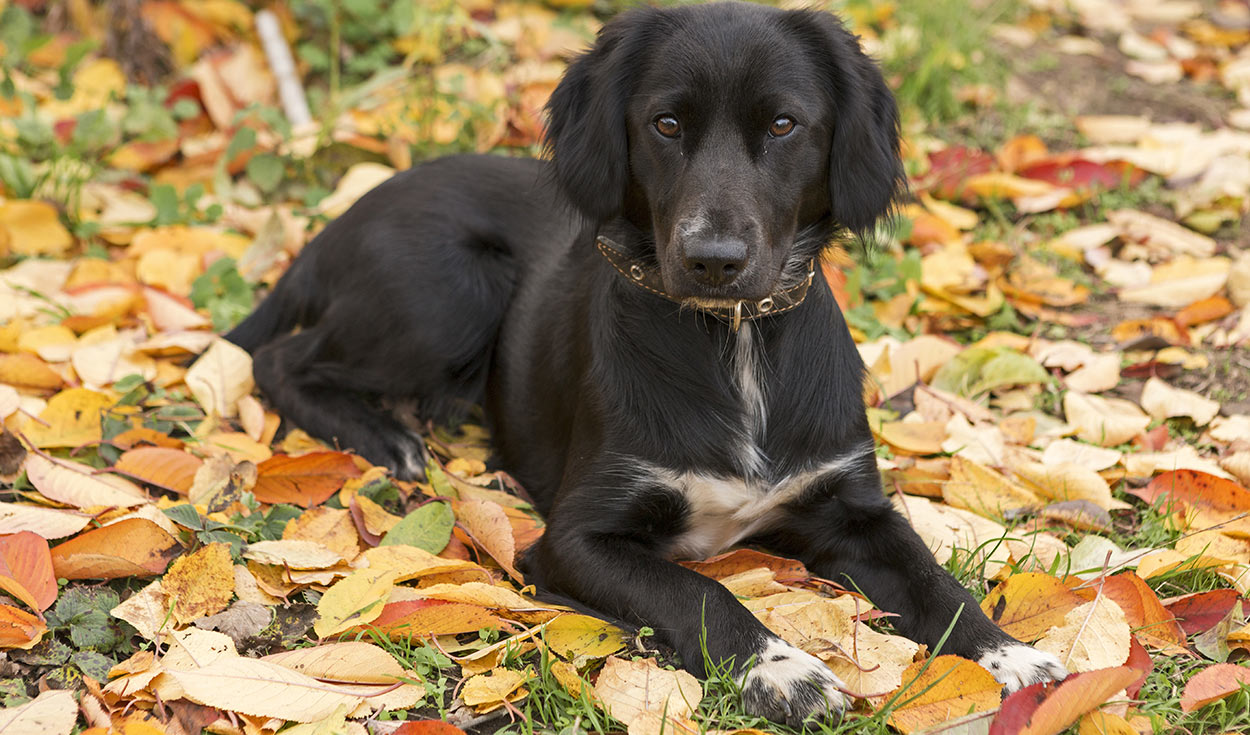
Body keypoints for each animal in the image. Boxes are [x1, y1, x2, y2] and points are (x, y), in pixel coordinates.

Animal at [227, 0, 1065, 725]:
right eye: (665, 123)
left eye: (784, 124)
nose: (713, 260)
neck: (734, 341)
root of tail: (337, 222)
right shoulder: (576, 538)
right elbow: (699, 592)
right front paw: (782, 670)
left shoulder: (852, 506)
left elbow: (936, 581)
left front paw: (1012, 655)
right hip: (447, 289)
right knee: (278, 357)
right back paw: (385, 437)